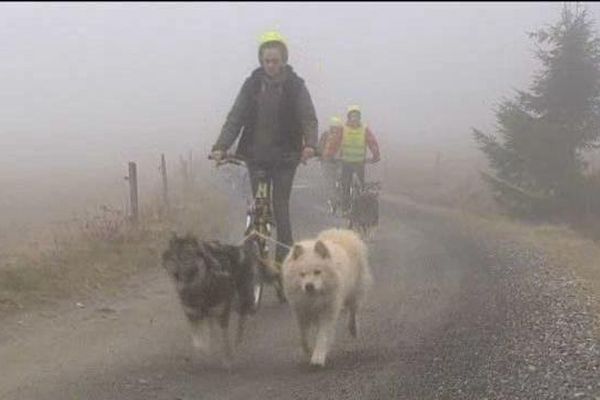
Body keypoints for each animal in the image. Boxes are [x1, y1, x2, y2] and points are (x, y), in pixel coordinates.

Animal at [163, 233, 258, 364]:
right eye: (173, 258)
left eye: (187, 257)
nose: (176, 273)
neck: (202, 287)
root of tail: (240, 248)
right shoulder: (192, 316)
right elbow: (199, 343)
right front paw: (205, 353)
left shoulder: (222, 314)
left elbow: (225, 341)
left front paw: (227, 359)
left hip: (243, 298)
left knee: (242, 320)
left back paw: (239, 342)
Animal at [282, 227, 370, 368]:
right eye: (302, 274)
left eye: (317, 272)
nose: (309, 286)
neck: (314, 298)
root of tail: (340, 232)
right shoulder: (302, 313)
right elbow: (303, 337)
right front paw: (309, 351)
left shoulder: (327, 312)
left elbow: (322, 336)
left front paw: (318, 357)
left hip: (355, 291)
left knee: (353, 311)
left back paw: (353, 329)